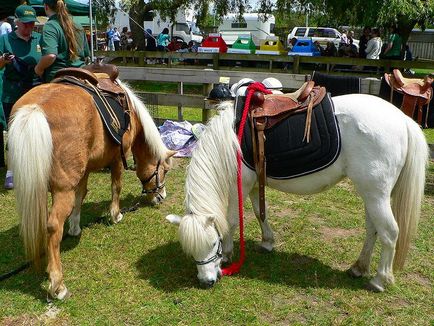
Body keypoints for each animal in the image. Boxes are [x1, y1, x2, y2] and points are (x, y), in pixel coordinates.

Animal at [8, 78, 175, 298]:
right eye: (164, 170)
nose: (161, 196)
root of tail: (35, 108)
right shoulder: (117, 159)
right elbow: (116, 187)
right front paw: (115, 215)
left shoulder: (85, 170)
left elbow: (81, 195)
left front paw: (75, 227)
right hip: (62, 190)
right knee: (53, 226)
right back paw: (57, 284)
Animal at [168, 93, 428, 292]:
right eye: (189, 250)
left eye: (214, 243)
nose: (207, 282)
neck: (230, 140)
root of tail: (402, 119)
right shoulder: (255, 185)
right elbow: (260, 213)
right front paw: (267, 242)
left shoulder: (238, 186)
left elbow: (231, 221)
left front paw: (228, 255)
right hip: (371, 194)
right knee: (372, 229)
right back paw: (359, 267)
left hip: (376, 195)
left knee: (390, 233)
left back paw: (379, 280)